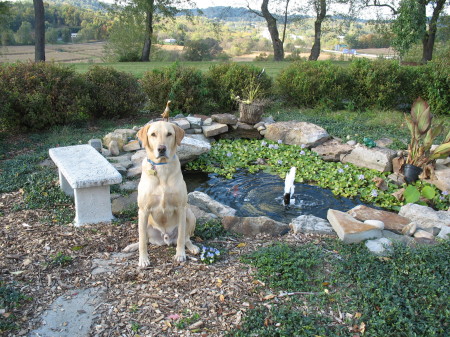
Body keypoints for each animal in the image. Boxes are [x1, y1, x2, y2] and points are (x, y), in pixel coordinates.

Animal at [125, 121, 199, 268]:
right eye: (153, 134)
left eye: (169, 134)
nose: (161, 149)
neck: (162, 167)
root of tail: (166, 238)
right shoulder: (143, 210)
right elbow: (142, 240)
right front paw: (143, 259)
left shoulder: (181, 208)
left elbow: (181, 237)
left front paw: (180, 254)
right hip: (144, 222)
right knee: (145, 239)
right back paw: (132, 246)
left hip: (189, 214)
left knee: (186, 237)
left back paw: (192, 247)